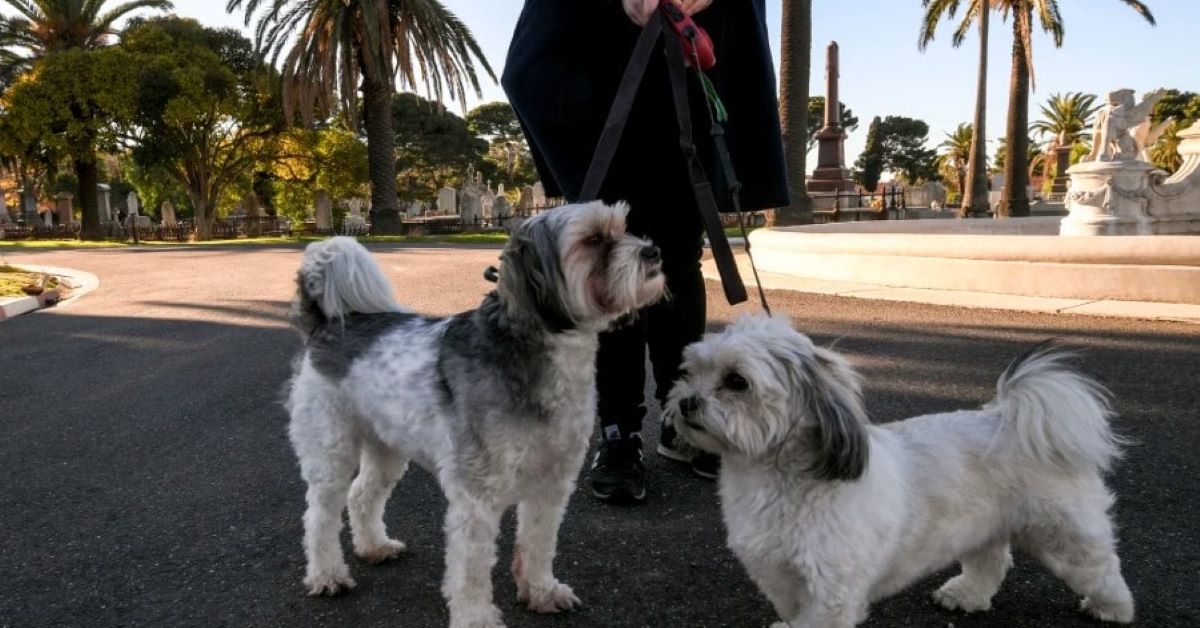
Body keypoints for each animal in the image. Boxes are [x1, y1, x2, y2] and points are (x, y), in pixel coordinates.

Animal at [286, 202, 672, 628]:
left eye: (623, 229)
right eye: (593, 240)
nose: (653, 251)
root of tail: (325, 324)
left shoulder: (551, 484)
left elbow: (538, 545)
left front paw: (541, 591)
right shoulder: (477, 495)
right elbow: (470, 569)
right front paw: (476, 618)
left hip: (386, 449)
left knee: (361, 496)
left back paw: (374, 547)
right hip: (331, 452)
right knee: (320, 516)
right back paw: (327, 575)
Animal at [667, 317, 1132, 628]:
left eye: (736, 382)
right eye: (687, 373)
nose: (687, 401)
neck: (775, 479)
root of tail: (1008, 418)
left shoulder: (830, 592)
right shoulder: (778, 576)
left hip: (1063, 533)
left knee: (1101, 568)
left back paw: (1112, 608)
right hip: (980, 524)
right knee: (991, 562)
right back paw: (966, 594)